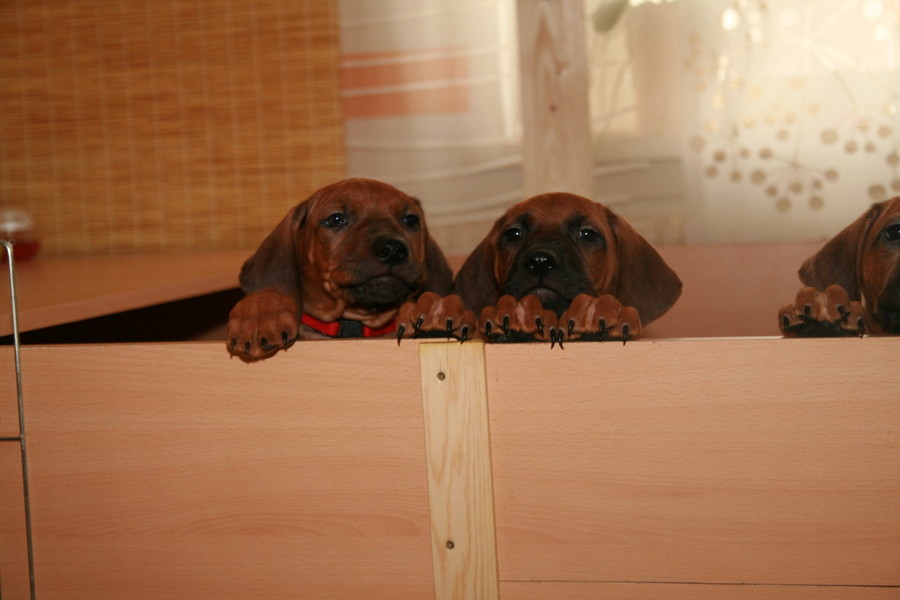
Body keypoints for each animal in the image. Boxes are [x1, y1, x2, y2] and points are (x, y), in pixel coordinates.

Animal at [227, 178, 453, 361]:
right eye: (336, 219)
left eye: (411, 220)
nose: (393, 250)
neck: (352, 323)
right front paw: (260, 314)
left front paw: (429, 308)